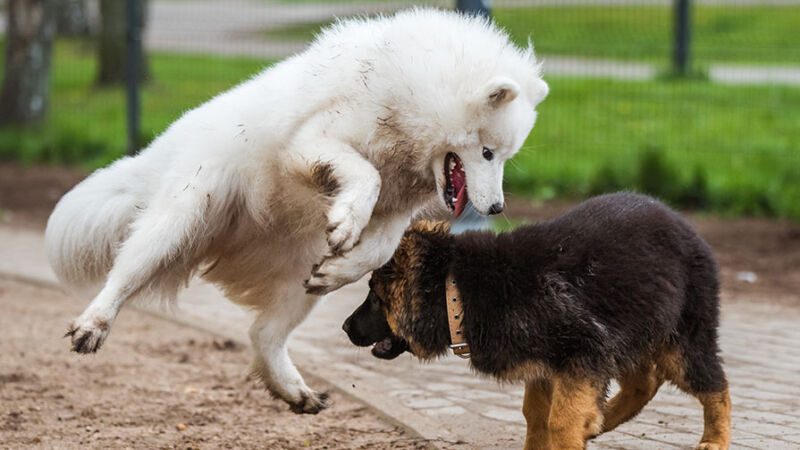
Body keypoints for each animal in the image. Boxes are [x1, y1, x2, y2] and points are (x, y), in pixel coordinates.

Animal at [47, 8, 548, 414]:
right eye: (487, 152)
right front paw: (347, 220)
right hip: (179, 221)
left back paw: (293, 389)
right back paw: (93, 324)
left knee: (262, 335)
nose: (498, 206)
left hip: (296, 282)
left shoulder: (394, 212)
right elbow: (366, 176)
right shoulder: (312, 144)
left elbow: (377, 250)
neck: (417, 96)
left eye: (504, 157)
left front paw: (342, 261)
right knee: (124, 274)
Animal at [344, 192, 732, 450]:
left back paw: (714, 439)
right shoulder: (549, 365)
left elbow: (560, 420)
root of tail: (686, 227)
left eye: (375, 298)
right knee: (645, 381)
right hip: (633, 330)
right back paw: (603, 419)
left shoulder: (584, 351)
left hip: (680, 339)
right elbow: (535, 415)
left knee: (715, 385)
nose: (345, 328)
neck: (458, 291)